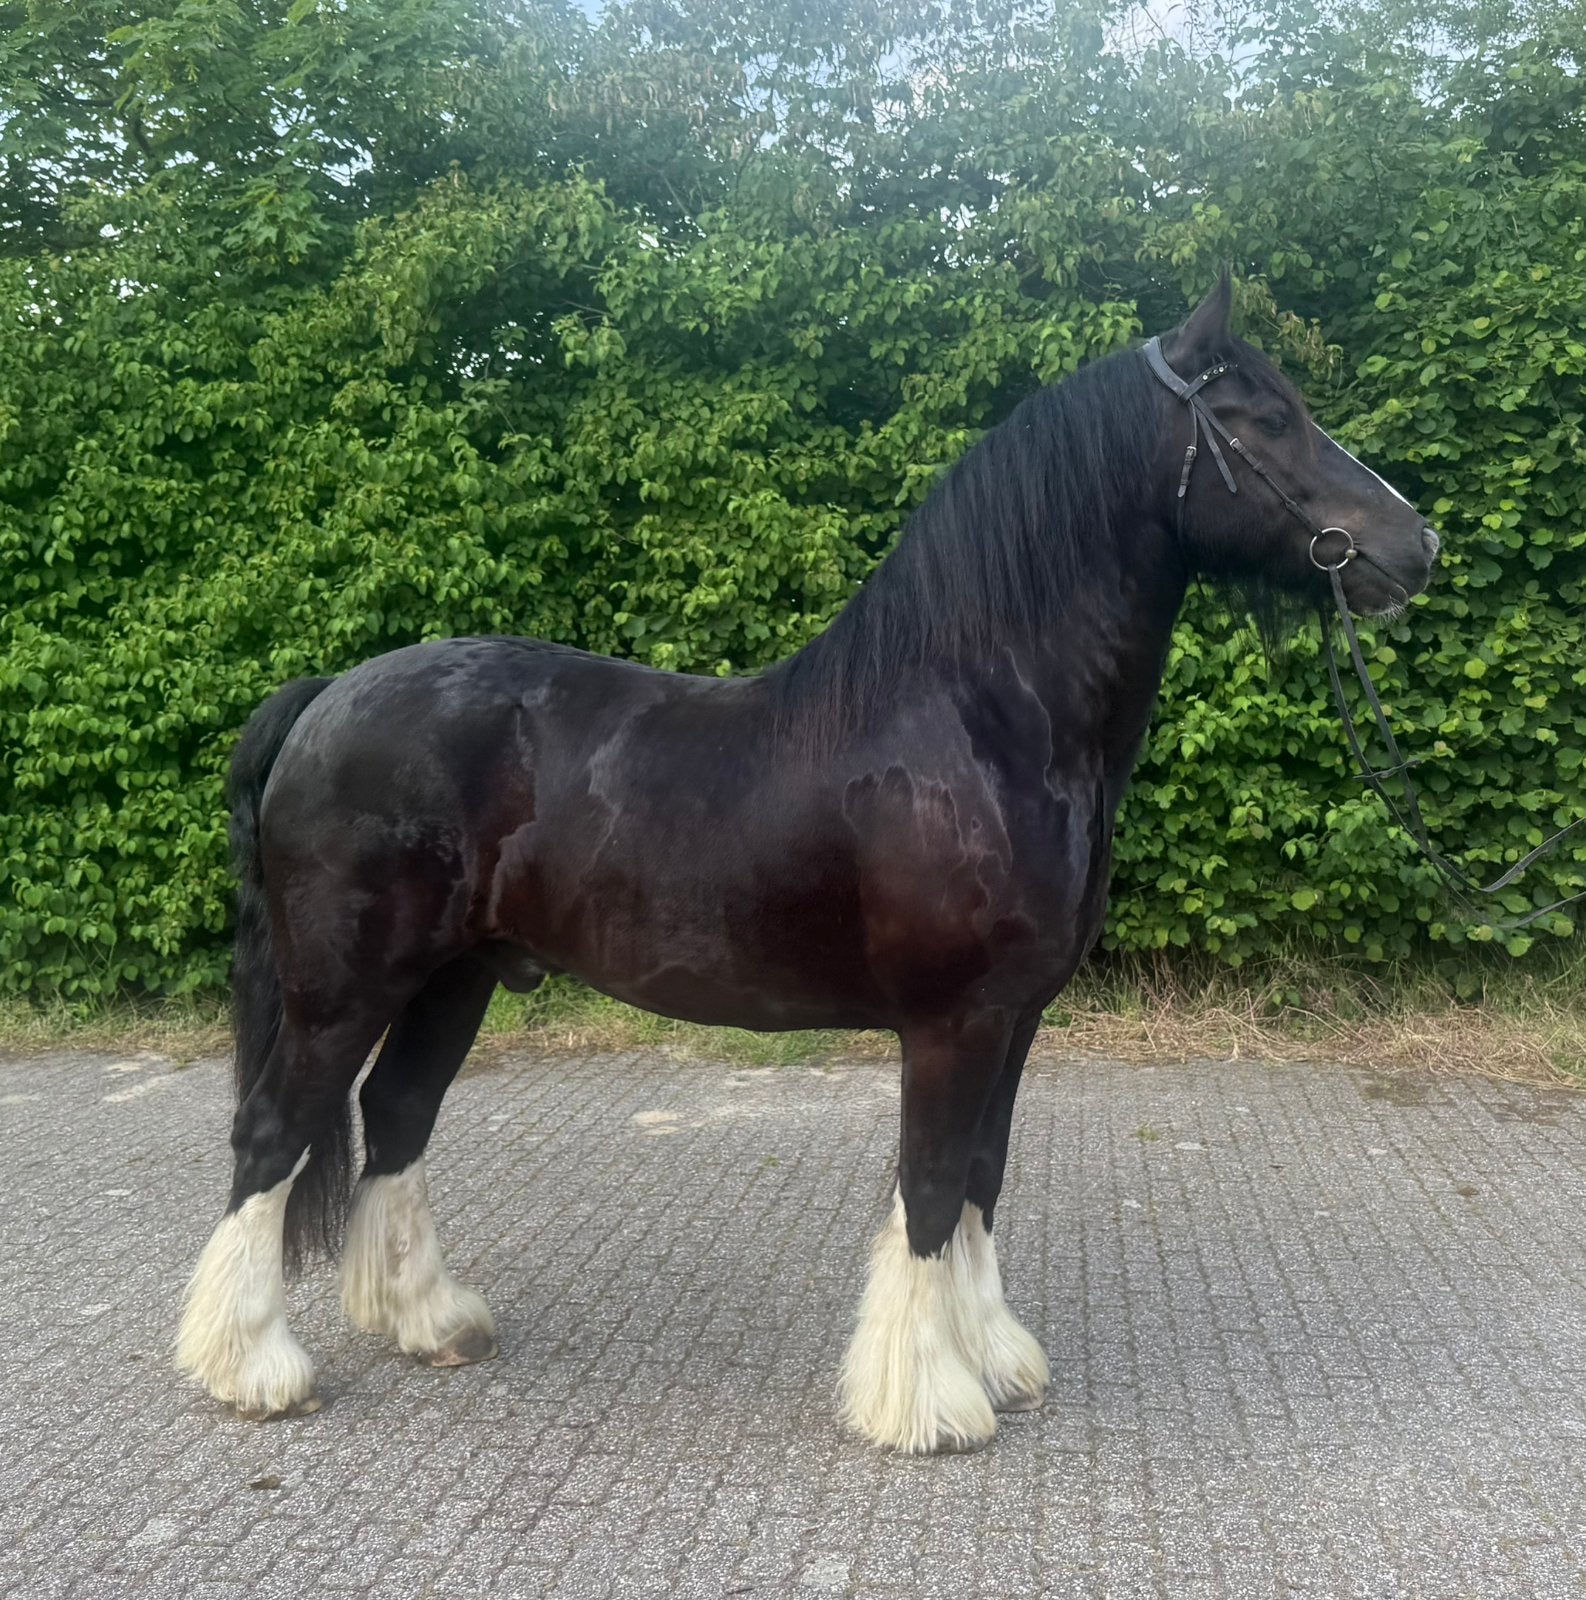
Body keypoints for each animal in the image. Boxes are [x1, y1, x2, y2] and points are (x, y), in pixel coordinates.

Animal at [175, 276, 1439, 1453]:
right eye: (1262, 417)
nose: (1414, 546)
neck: (978, 721)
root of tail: (326, 696)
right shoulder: (950, 1022)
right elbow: (928, 1186)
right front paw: (926, 1402)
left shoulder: (1012, 1018)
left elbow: (980, 1174)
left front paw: (991, 1355)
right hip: (344, 988)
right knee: (275, 1133)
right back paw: (251, 1368)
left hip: (457, 976)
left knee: (394, 1116)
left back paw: (427, 1320)